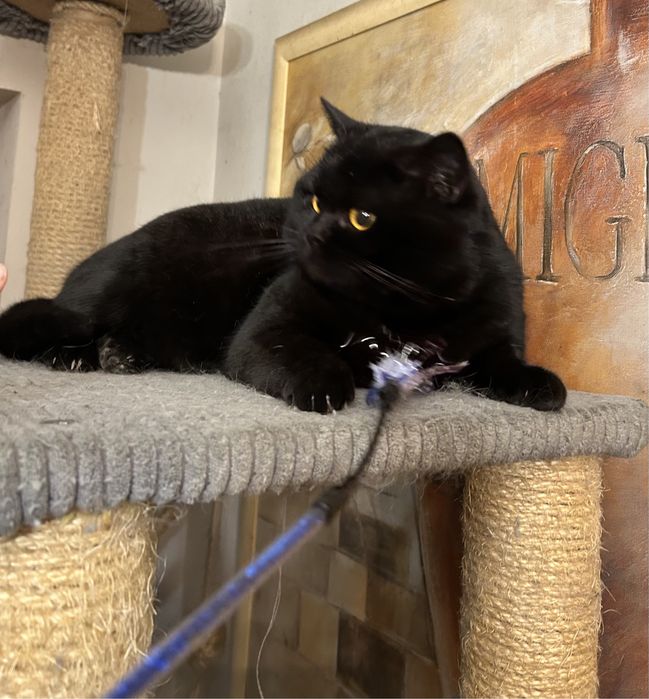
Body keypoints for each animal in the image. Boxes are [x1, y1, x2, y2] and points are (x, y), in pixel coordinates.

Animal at [0, 99, 566, 413]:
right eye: (312, 199)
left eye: (362, 217)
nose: (310, 233)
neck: (409, 307)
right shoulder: (262, 331)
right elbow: (304, 353)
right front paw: (327, 383)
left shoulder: (493, 332)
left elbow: (509, 364)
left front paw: (539, 385)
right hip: (114, 292)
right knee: (36, 319)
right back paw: (74, 356)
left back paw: (119, 354)